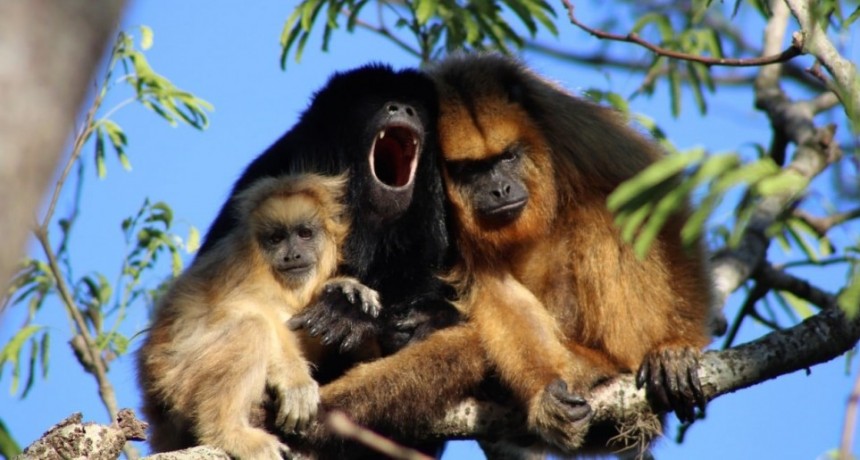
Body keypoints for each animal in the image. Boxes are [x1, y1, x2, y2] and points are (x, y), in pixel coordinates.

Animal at [137, 173, 380, 460]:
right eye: (276, 238)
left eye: (304, 233)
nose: (292, 255)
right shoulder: (238, 266)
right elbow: (245, 308)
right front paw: (294, 381)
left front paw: (343, 291)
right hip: (177, 382)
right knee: (253, 327)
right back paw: (229, 433)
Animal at [306, 54, 716, 456]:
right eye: (470, 170)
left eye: (507, 158)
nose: (500, 190)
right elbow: (491, 287)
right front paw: (545, 391)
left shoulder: (572, 127)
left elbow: (660, 198)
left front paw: (676, 347)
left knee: (596, 212)